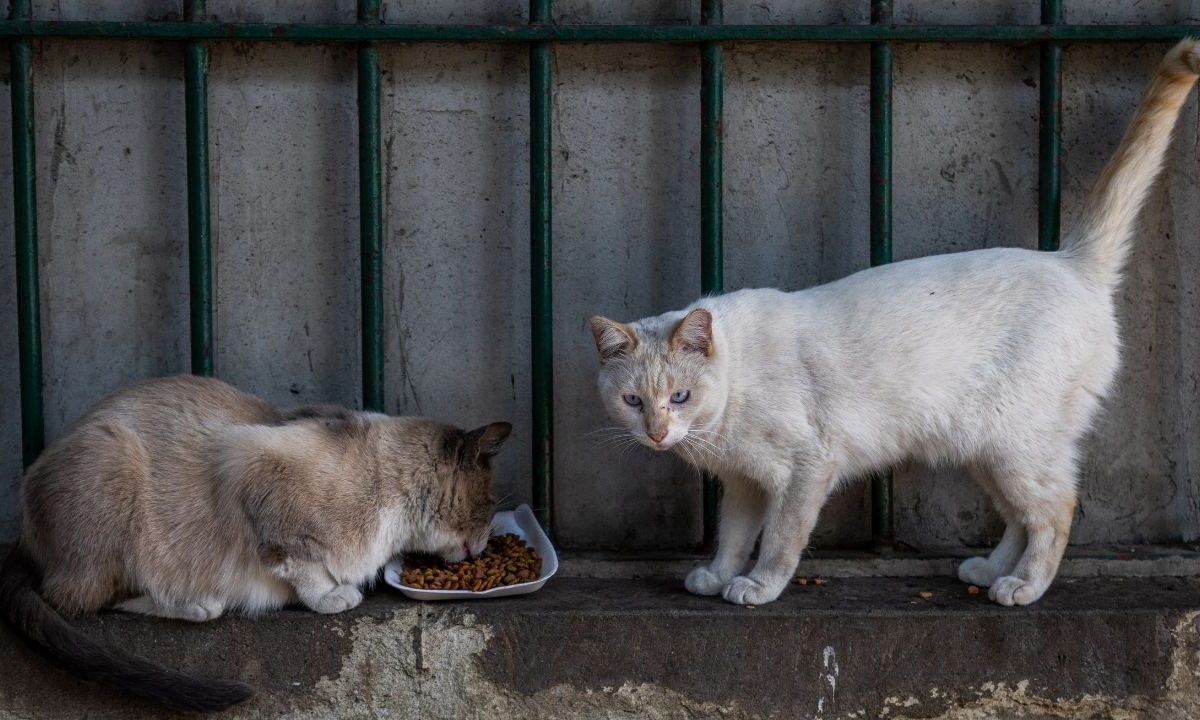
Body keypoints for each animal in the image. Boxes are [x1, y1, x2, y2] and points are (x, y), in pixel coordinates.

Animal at [0, 374, 508, 710]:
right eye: (489, 505)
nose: (484, 546)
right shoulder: (249, 467)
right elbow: (301, 563)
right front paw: (332, 597)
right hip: (116, 457)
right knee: (84, 597)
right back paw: (196, 603)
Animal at [588, 40, 1200, 607]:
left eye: (681, 396)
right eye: (634, 402)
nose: (657, 433)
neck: (728, 404)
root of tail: (1068, 260)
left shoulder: (805, 469)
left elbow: (779, 541)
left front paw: (757, 587)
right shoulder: (744, 482)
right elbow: (733, 537)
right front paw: (716, 577)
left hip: (1015, 447)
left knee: (1056, 510)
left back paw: (1023, 586)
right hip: (984, 450)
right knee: (1020, 516)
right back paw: (989, 571)